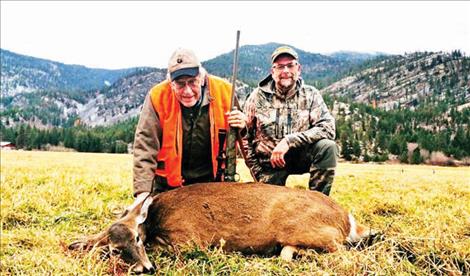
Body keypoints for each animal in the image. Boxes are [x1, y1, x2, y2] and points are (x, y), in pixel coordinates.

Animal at [69, 182, 374, 272]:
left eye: (137, 239)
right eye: (114, 250)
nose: (145, 269)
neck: (155, 220)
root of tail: (345, 218)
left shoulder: (190, 239)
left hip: (308, 229)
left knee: (342, 250)